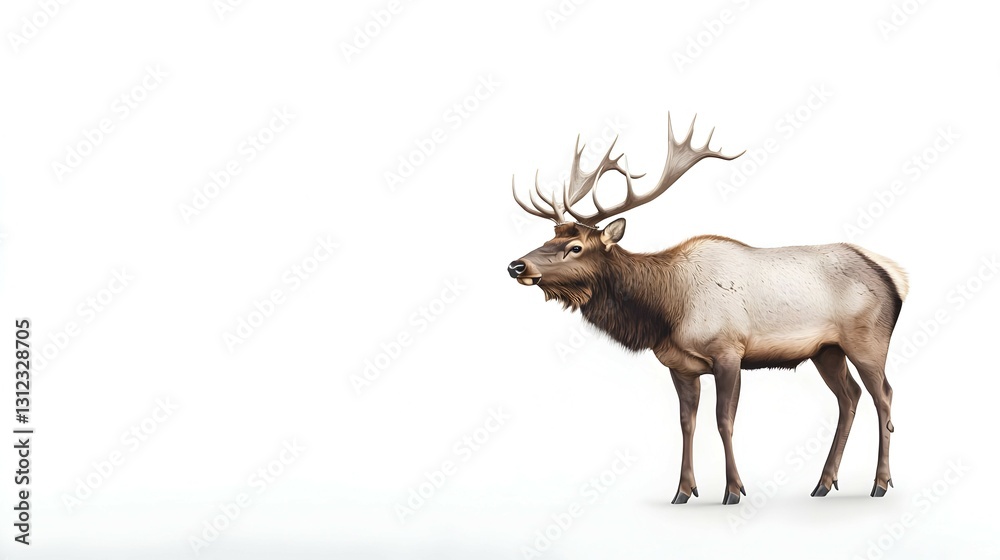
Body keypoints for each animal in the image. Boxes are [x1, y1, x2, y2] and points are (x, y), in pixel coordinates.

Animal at [507, 114, 907, 505]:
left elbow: (723, 420)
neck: (666, 311)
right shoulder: (680, 365)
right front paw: (683, 490)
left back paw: (880, 483)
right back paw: (824, 482)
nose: (516, 265)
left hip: (867, 341)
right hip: (826, 350)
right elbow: (687, 423)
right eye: (549, 237)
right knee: (849, 397)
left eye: (575, 246)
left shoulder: (729, 351)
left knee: (884, 396)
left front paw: (733, 490)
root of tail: (894, 276)